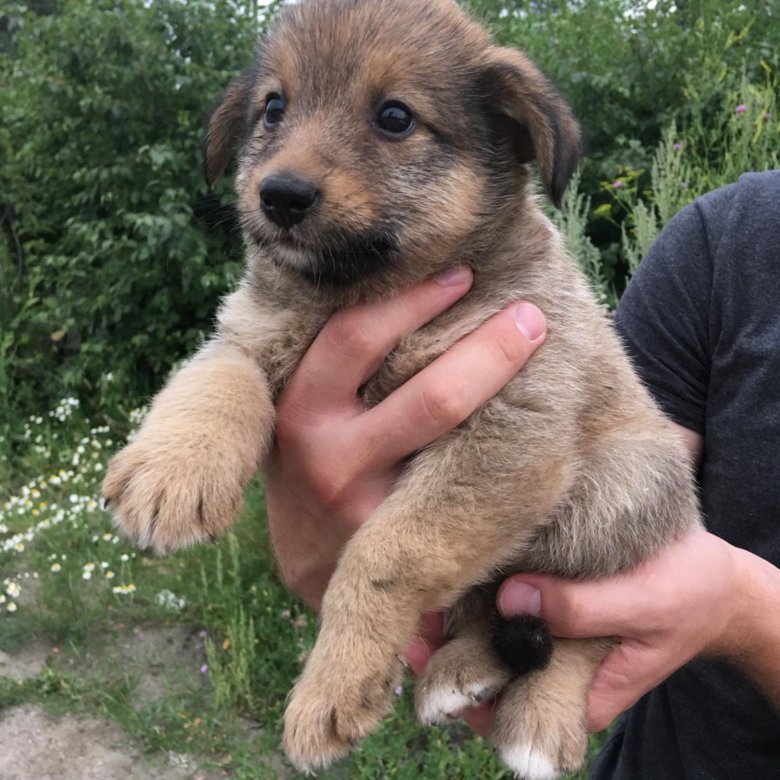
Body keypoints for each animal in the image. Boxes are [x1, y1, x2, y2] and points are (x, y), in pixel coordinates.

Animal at [102, 3, 700, 776]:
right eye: (273, 108)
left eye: (393, 117)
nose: (280, 194)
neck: (358, 292)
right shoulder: (253, 331)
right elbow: (215, 380)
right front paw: (172, 472)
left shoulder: (509, 428)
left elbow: (386, 553)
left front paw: (334, 685)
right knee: (492, 607)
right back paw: (457, 672)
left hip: (617, 490)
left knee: (574, 623)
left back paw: (538, 718)